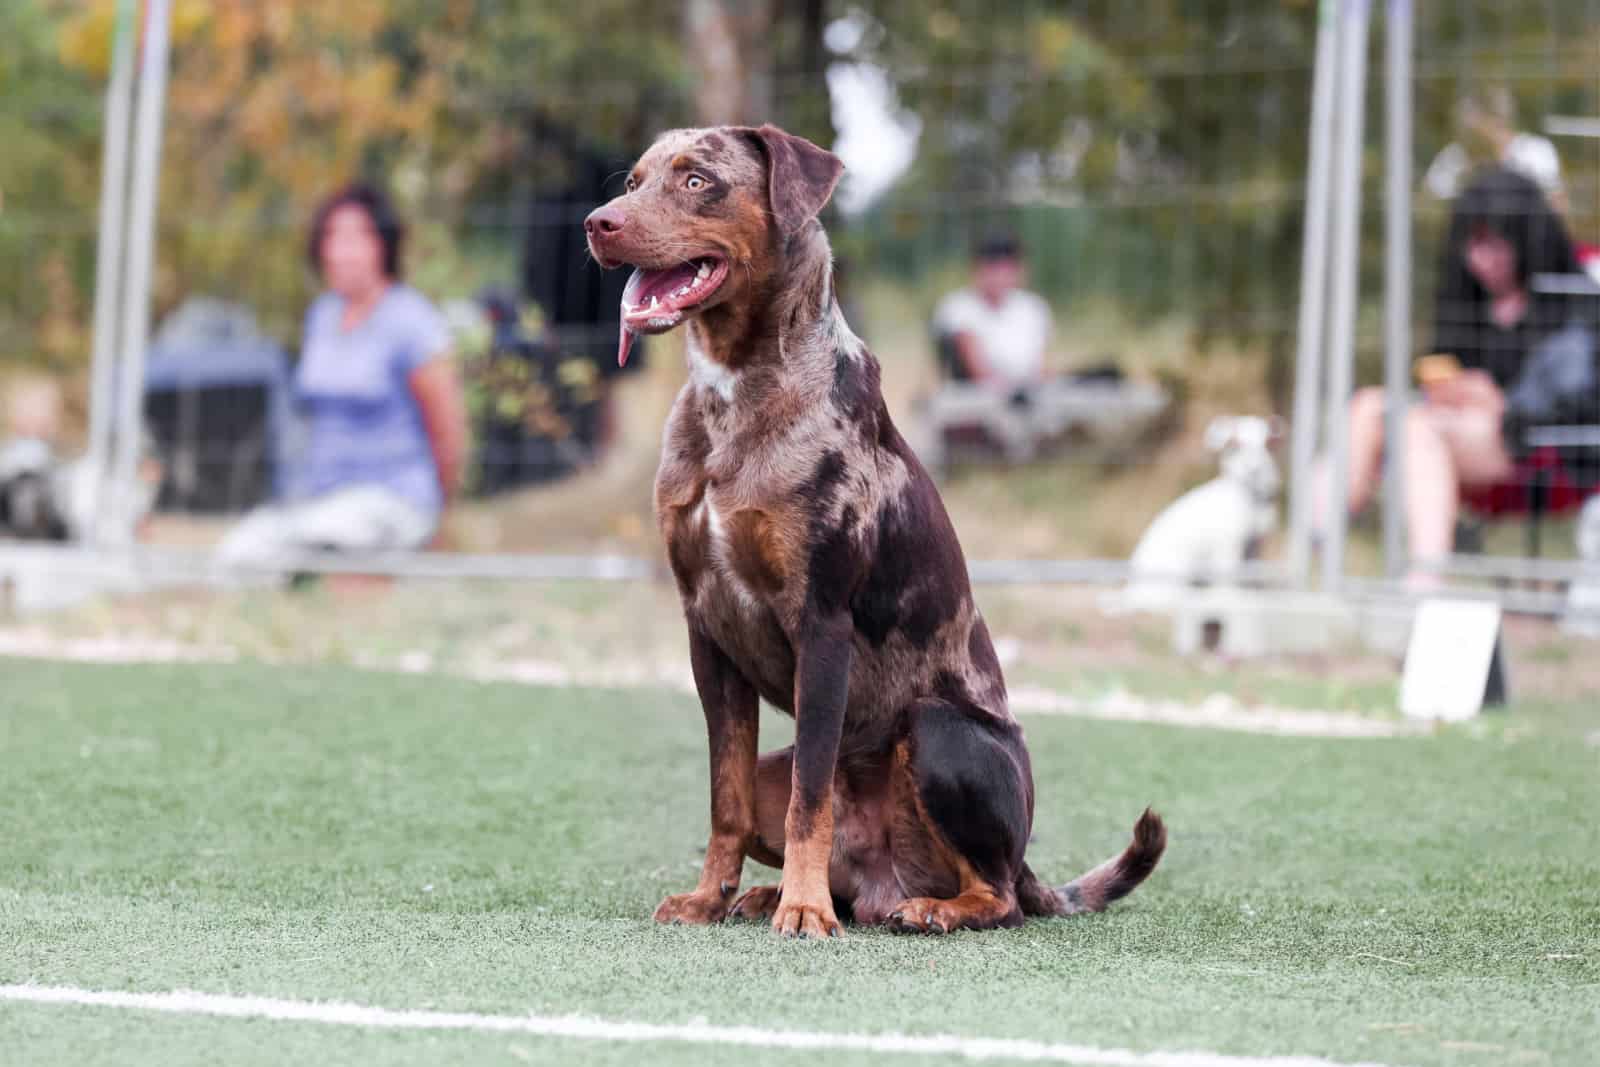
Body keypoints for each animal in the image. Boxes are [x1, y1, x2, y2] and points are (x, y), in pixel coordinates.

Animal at [588, 125, 1164, 940]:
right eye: (633, 181)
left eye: (698, 181)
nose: (597, 224)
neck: (737, 393)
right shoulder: (707, 632)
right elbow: (724, 797)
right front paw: (711, 898)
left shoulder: (822, 626)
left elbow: (811, 798)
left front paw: (803, 910)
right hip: (794, 767)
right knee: (814, 840)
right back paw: (773, 896)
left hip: (938, 730)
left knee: (999, 895)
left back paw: (924, 908)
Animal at [1113, 419, 1286, 617]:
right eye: (1235, 445)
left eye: (1268, 445)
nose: (1254, 470)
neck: (1251, 500)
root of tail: (1130, 596)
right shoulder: (1226, 546)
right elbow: (1230, 580)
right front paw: (1232, 599)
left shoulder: (1256, 545)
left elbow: (1253, 576)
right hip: (1181, 570)